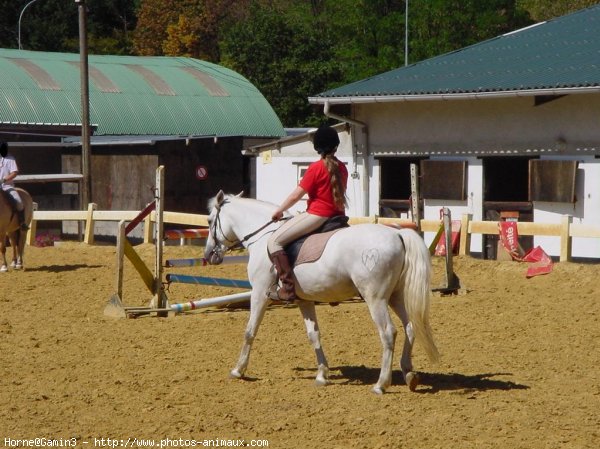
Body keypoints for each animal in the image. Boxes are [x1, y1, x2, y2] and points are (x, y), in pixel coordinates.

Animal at [204, 190, 438, 392]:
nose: (208, 256)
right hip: (395, 296)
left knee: (388, 332)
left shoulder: (260, 293)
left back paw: (381, 384)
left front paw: (238, 370)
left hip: (376, 299)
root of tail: (397, 235)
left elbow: (249, 331)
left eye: (209, 221)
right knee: (410, 327)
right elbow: (313, 335)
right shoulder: (304, 300)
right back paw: (409, 374)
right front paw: (322, 374)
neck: (263, 238)